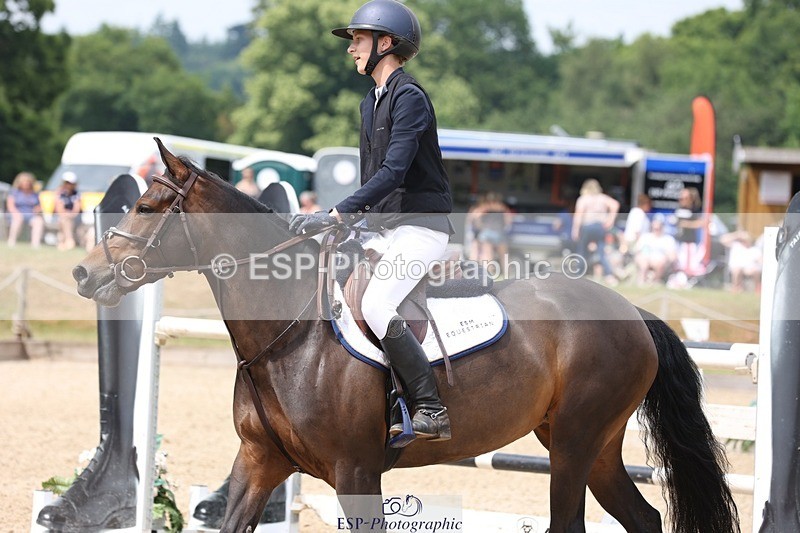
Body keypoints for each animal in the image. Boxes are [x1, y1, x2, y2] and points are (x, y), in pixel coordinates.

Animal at [72, 139, 739, 533]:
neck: (289, 333)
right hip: (588, 444)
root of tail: (632, 311)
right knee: (644, 519)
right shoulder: (261, 461)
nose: (85, 274)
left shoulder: (356, 472)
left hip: (576, 443)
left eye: (149, 208)